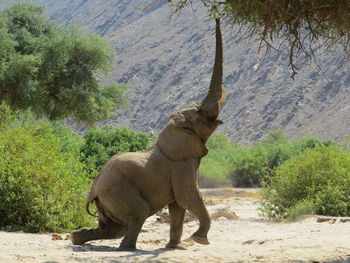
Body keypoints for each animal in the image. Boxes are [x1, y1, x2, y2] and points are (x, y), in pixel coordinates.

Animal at [71, 19, 227, 252]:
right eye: (199, 112)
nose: (216, 17)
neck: (171, 129)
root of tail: (93, 190)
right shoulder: (180, 165)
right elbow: (187, 197)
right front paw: (199, 240)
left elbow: (177, 207)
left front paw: (174, 247)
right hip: (117, 191)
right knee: (138, 214)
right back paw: (128, 249)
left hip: (107, 199)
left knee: (113, 229)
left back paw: (76, 238)